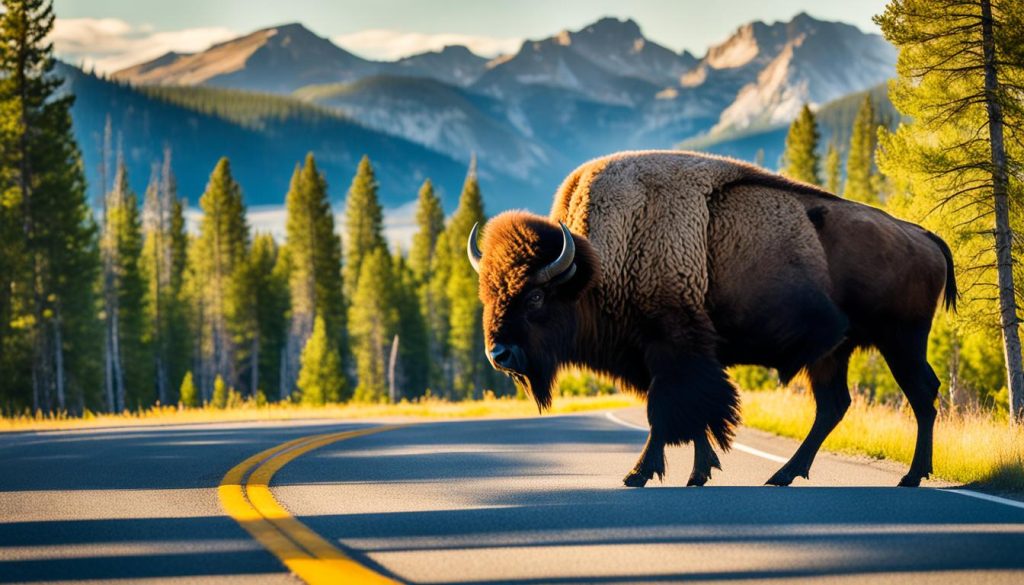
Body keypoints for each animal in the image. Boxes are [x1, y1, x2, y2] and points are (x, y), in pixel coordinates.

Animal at [468, 148, 954, 487]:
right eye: (488, 294)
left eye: (535, 296)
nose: (499, 354)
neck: (598, 265)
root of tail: (924, 235)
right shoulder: (668, 359)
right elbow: (694, 416)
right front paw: (697, 473)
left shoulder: (674, 351)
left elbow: (669, 414)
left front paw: (638, 474)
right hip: (835, 353)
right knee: (835, 405)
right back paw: (783, 475)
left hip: (900, 341)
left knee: (921, 394)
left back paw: (911, 476)